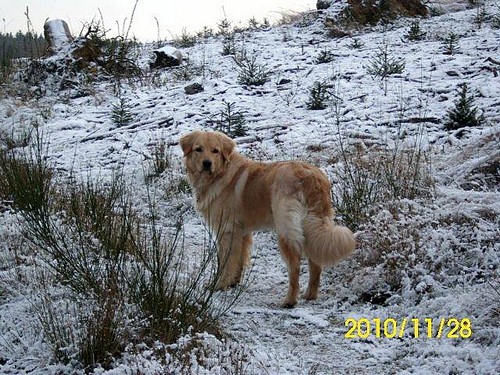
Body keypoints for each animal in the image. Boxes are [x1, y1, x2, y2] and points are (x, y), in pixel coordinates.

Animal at [180, 131, 356, 306]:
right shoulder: (241, 232)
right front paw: (233, 283)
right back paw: (309, 295)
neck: (220, 174)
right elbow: (239, 259)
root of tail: (311, 177)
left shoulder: (226, 231)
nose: (207, 163)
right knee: (315, 263)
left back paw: (289, 300)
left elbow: (226, 262)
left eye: (215, 151)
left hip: (286, 229)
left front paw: (220, 285)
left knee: (295, 266)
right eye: (198, 149)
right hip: (310, 227)